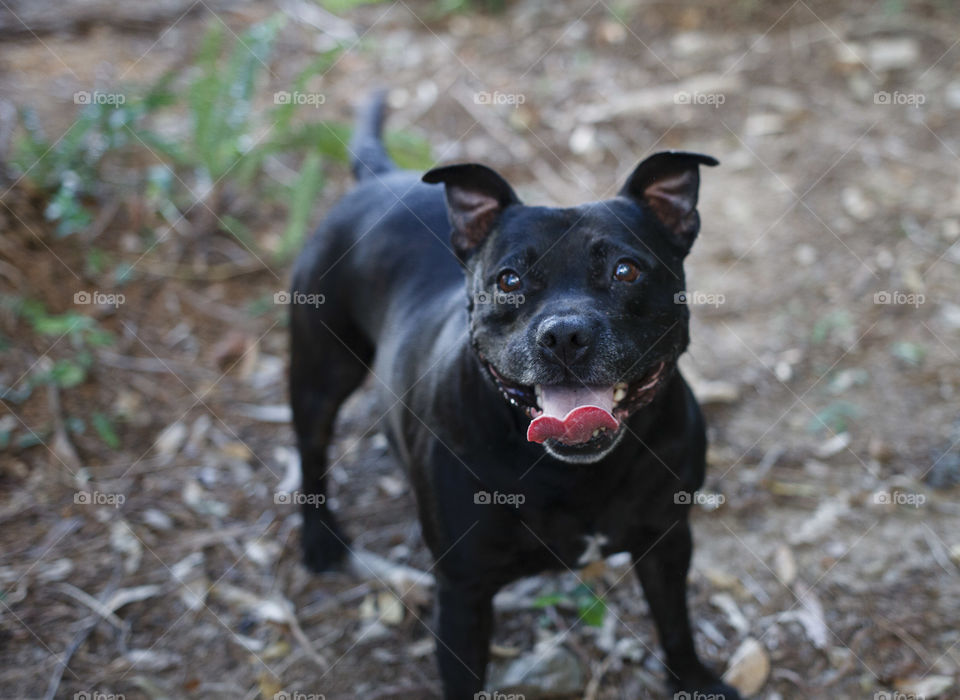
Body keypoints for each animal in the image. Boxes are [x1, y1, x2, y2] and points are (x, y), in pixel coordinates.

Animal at [288, 94, 740, 700]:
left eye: (626, 270)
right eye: (508, 280)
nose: (565, 334)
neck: (573, 472)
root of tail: (381, 177)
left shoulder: (668, 540)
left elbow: (675, 621)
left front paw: (693, 679)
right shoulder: (463, 590)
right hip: (320, 371)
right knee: (310, 447)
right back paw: (320, 540)